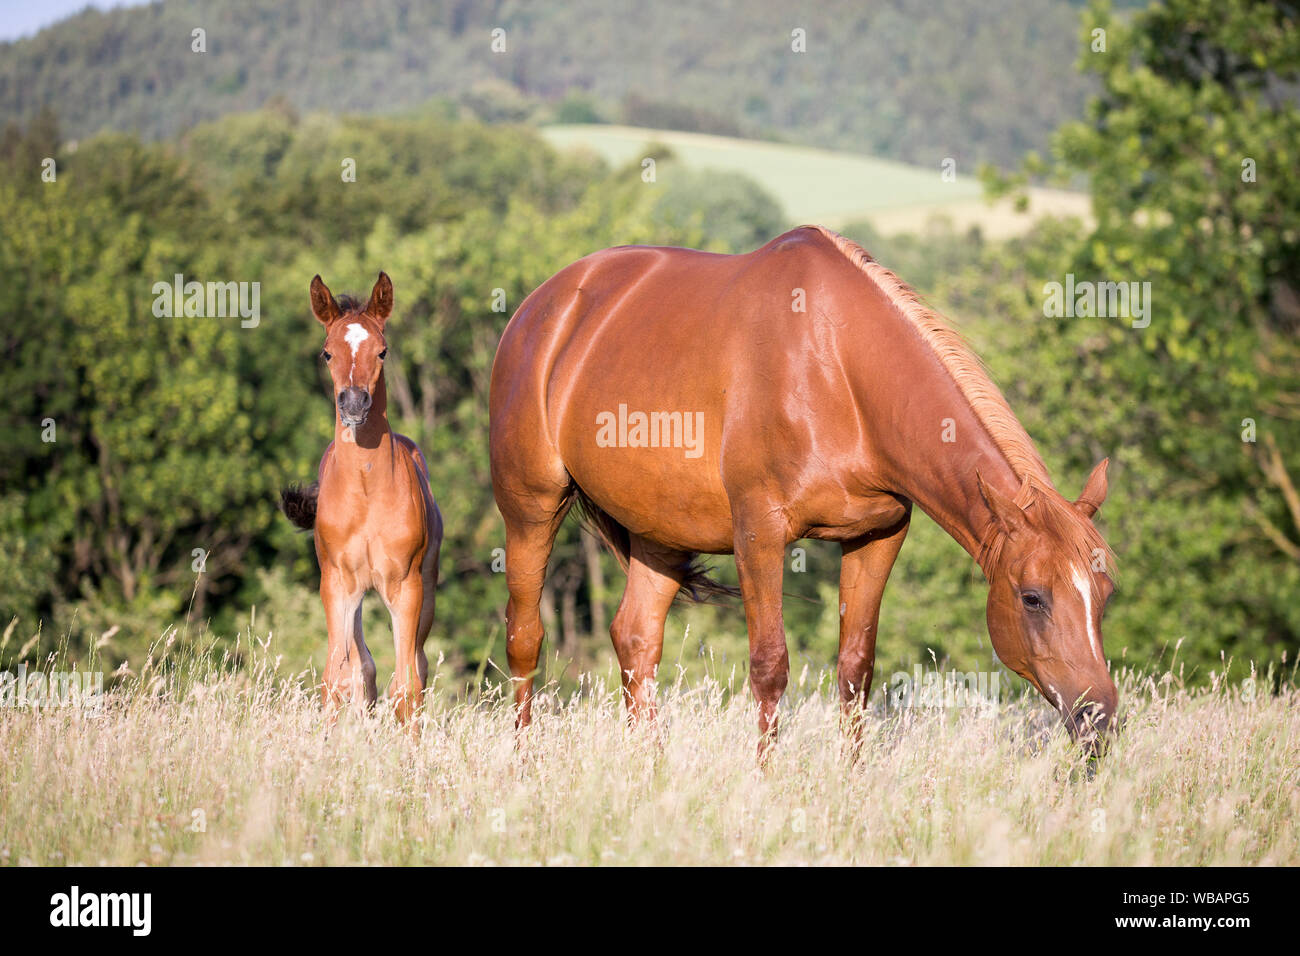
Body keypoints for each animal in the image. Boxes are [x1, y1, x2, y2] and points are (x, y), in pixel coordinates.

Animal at [281, 272, 443, 727]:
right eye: (327, 352)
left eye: (382, 350)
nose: (354, 403)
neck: (368, 493)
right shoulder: (336, 584)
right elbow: (338, 678)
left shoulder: (405, 585)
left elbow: (406, 685)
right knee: (362, 668)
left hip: (425, 588)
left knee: (415, 666)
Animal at [489, 225, 1117, 757]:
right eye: (1033, 597)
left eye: (1105, 594)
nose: (1101, 717)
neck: (838, 370)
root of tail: (544, 305)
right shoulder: (759, 534)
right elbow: (770, 667)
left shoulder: (878, 536)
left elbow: (856, 670)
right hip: (530, 509)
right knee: (526, 637)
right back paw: (524, 766)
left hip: (659, 531)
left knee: (636, 640)